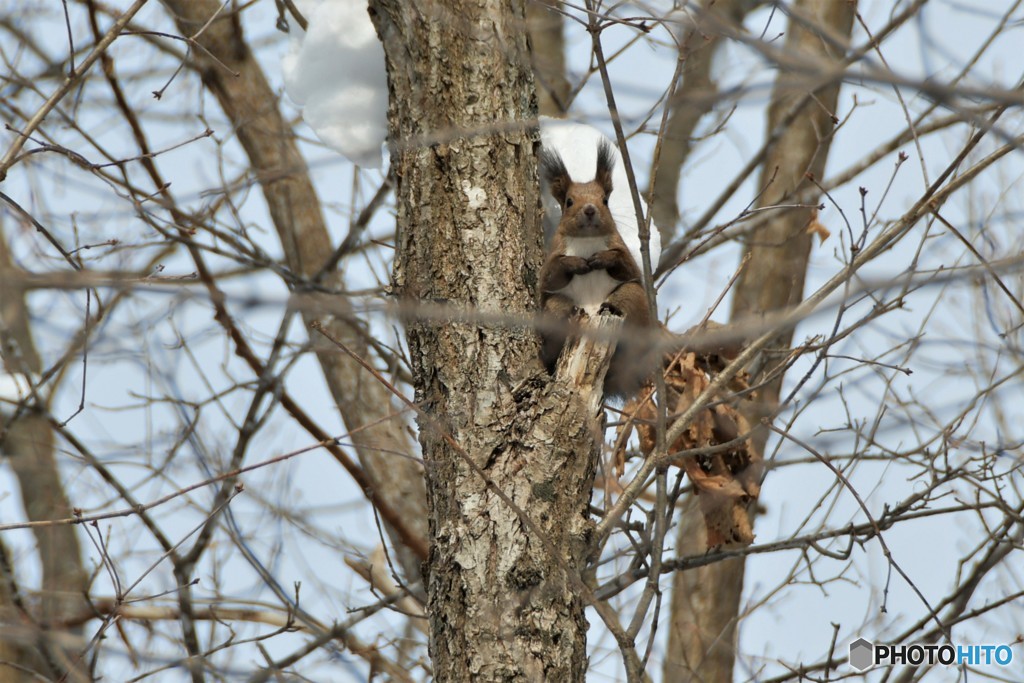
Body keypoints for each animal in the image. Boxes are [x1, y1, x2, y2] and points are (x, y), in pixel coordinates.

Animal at [540, 141, 651, 397]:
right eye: (569, 201)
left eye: (605, 200)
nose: (590, 209)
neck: (588, 241)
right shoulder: (554, 254)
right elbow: (550, 276)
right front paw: (576, 263)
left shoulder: (622, 251)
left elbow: (626, 267)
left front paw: (602, 259)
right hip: (554, 307)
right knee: (558, 311)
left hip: (633, 298)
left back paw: (611, 308)